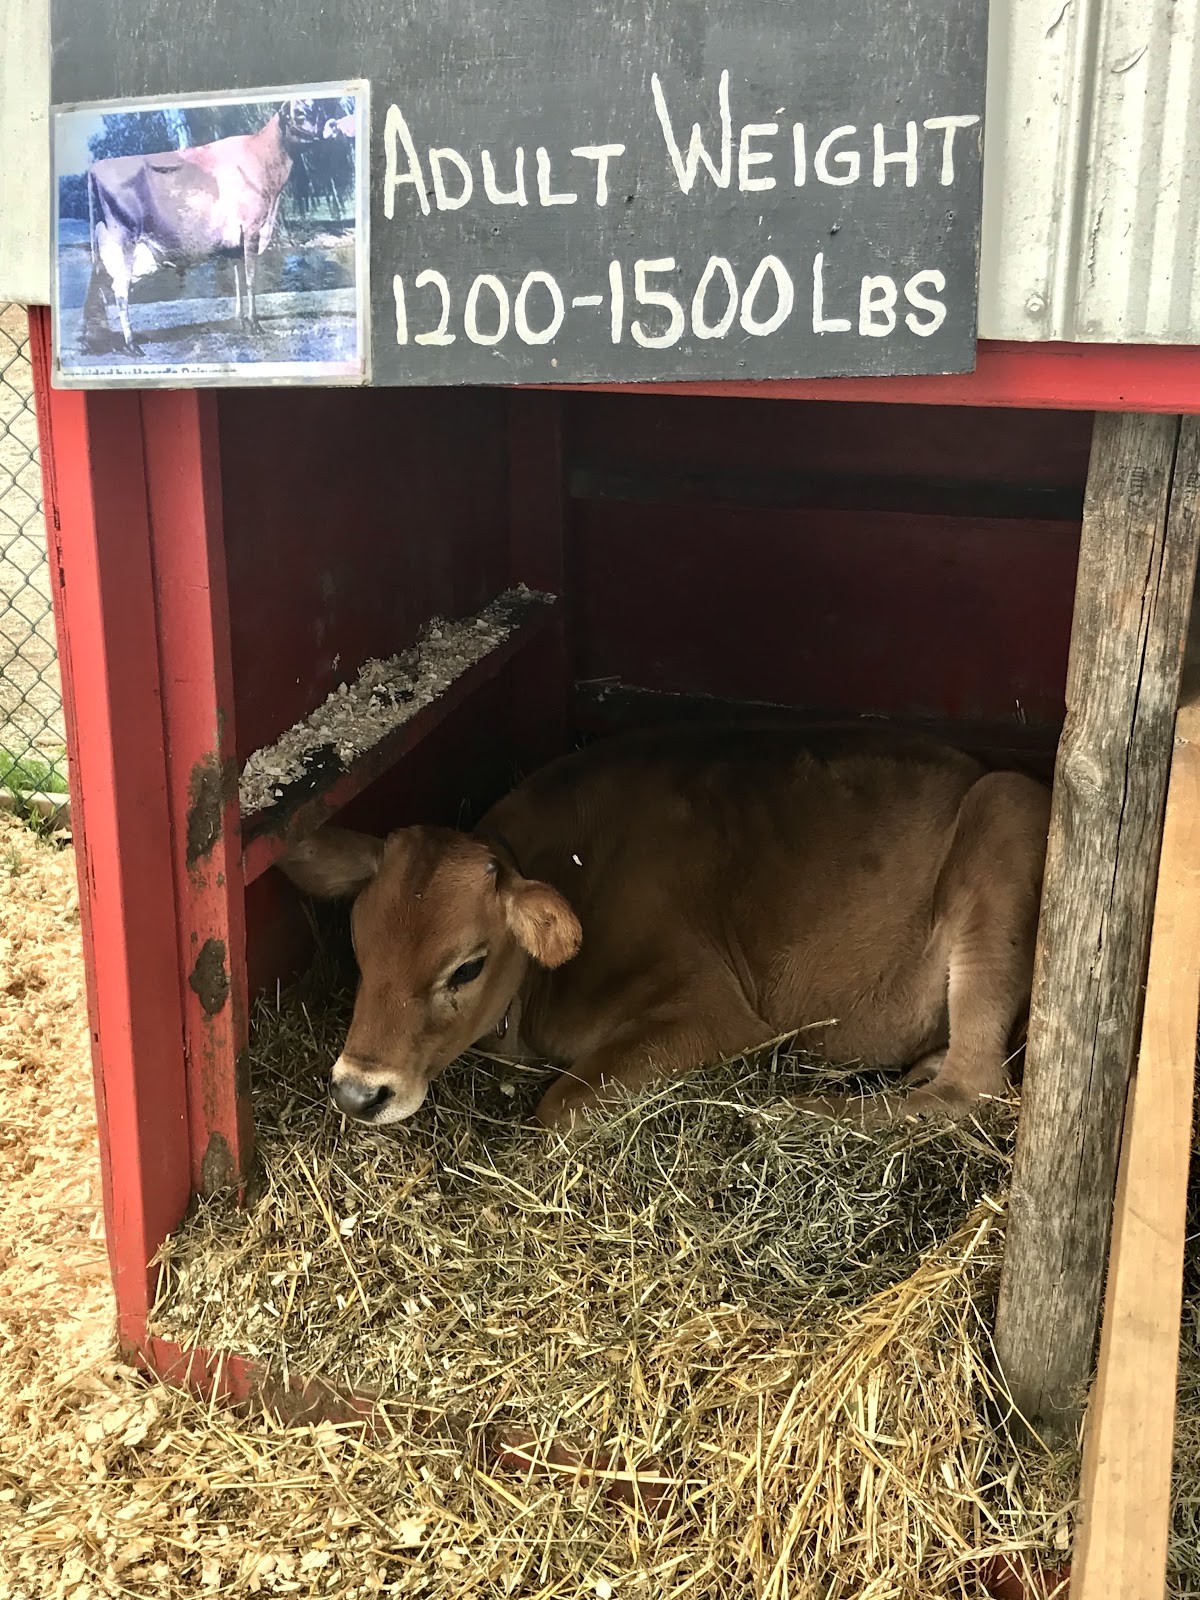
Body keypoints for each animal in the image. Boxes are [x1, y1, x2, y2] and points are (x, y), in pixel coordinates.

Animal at [80, 103, 326, 360]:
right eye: (300, 113)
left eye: (316, 109)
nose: (324, 127)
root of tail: (96, 167)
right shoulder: (252, 231)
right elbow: (250, 280)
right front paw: (255, 325)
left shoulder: (236, 243)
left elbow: (237, 279)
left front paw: (241, 322)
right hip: (123, 243)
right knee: (119, 291)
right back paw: (132, 345)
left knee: (97, 289)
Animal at [276, 726, 1049, 1126]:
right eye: (360, 950)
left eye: (465, 966)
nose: (357, 1092)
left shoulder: (716, 1012)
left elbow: (561, 1104)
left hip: (1005, 824)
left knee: (971, 1087)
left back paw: (806, 1111)